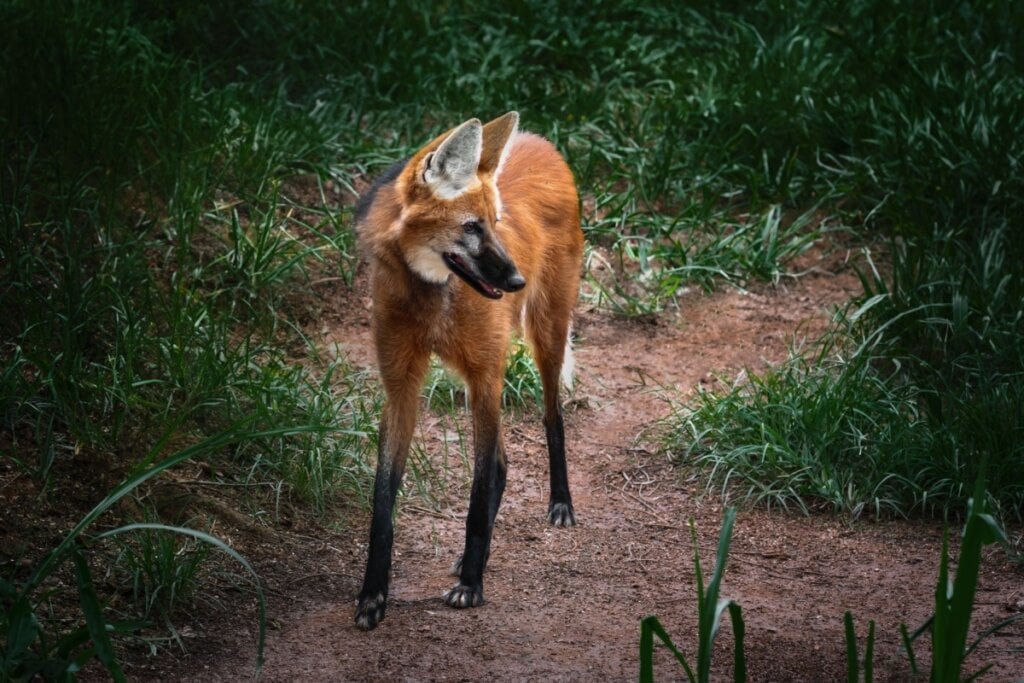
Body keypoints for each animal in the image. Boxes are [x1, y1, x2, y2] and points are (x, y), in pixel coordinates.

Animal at [352, 112, 581, 630]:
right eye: (472, 227)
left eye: (495, 224)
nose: (515, 279)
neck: (432, 293)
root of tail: (540, 140)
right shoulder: (402, 385)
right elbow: (382, 500)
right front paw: (373, 594)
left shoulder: (485, 375)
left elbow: (479, 486)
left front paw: (472, 585)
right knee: (504, 459)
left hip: (546, 331)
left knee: (550, 415)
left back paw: (560, 503)